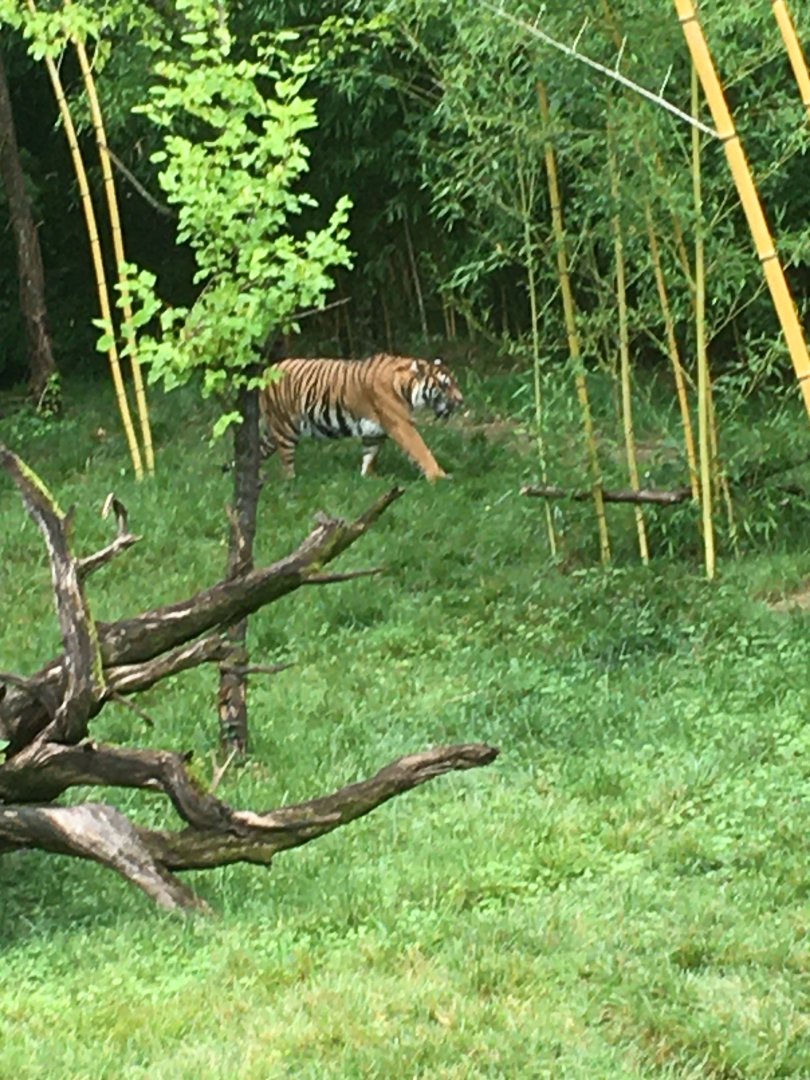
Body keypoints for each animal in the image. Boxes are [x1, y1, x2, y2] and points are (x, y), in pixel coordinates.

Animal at [258, 353, 464, 481]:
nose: (461, 401)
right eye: (445, 385)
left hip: (273, 431)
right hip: (285, 427)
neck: (406, 386)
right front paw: (439, 477)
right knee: (286, 463)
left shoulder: (374, 430)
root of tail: (266, 371)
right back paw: (290, 482)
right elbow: (421, 449)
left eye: (455, 382)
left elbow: (370, 455)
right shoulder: (401, 424)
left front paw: (369, 477)